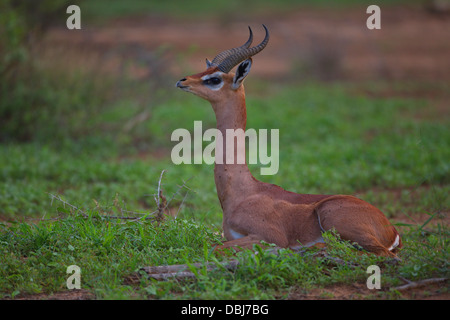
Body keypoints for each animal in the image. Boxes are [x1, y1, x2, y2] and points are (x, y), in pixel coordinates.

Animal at [175, 24, 400, 258]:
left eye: (215, 79)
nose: (182, 81)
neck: (242, 192)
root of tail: (390, 229)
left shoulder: (269, 237)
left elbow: (216, 247)